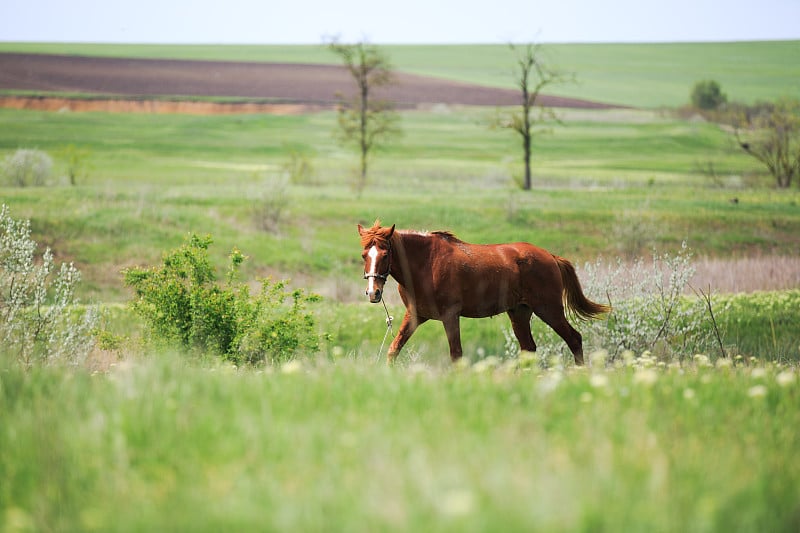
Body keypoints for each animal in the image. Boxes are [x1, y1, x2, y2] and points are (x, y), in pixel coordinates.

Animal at [360, 220, 608, 366]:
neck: (426, 264)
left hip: (549, 310)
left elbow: (456, 354)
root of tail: (551, 257)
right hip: (519, 313)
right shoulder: (415, 315)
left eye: (384, 255)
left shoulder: (450, 316)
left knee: (574, 339)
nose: (373, 292)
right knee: (528, 349)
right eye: (364, 255)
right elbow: (393, 350)